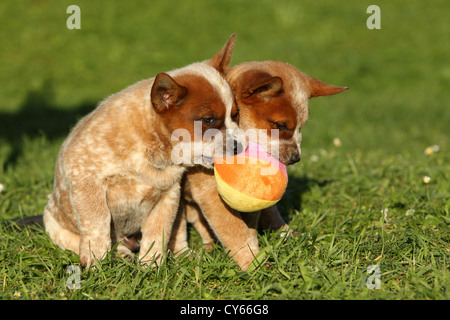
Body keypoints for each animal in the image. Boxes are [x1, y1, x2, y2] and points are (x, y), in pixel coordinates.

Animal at [43, 33, 239, 268]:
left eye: (235, 115)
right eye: (208, 120)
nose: (240, 146)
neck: (152, 148)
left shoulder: (169, 195)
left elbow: (159, 233)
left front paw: (151, 267)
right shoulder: (86, 180)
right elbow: (97, 224)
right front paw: (97, 264)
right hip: (52, 223)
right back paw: (120, 254)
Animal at [169, 60, 348, 270]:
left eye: (301, 127)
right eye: (279, 125)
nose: (295, 158)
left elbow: (262, 216)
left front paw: (283, 235)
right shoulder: (209, 192)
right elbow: (235, 228)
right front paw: (253, 262)